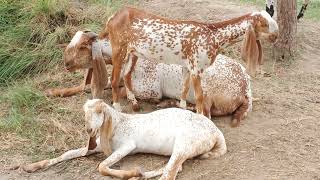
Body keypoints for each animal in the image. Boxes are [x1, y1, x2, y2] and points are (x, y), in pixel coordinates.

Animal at [19, 99, 228, 179]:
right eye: (84, 112)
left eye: (99, 111)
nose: (89, 130)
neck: (118, 124)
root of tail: (216, 132)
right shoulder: (97, 146)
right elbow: (68, 153)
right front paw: (32, 166)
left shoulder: (127, 146)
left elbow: (102, 166)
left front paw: (131, 172)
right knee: (175, 168)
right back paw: (141, 175)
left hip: (184, 144)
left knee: (171, 172)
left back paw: (137, 174)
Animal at [48, 32, 252, 125]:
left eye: (82, 46)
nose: (66, 63)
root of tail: (246, 87)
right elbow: (83, 87)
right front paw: (53, 92)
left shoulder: (150, 89)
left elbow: (123, 91)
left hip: (206, 93)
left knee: (206, 113)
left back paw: (168, 104)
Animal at [100, 7, 278, 115]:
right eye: (264, 23)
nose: (276, 36)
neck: (213, 36)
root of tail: (113, 17)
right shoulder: (196, 68)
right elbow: (199, 97)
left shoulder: (186, 67)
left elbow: (184, 91)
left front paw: (183, 112)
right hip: (119, 49)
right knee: (115, 79)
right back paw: (117, 108)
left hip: (133, 52)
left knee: (127, 75)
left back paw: (135, 103)